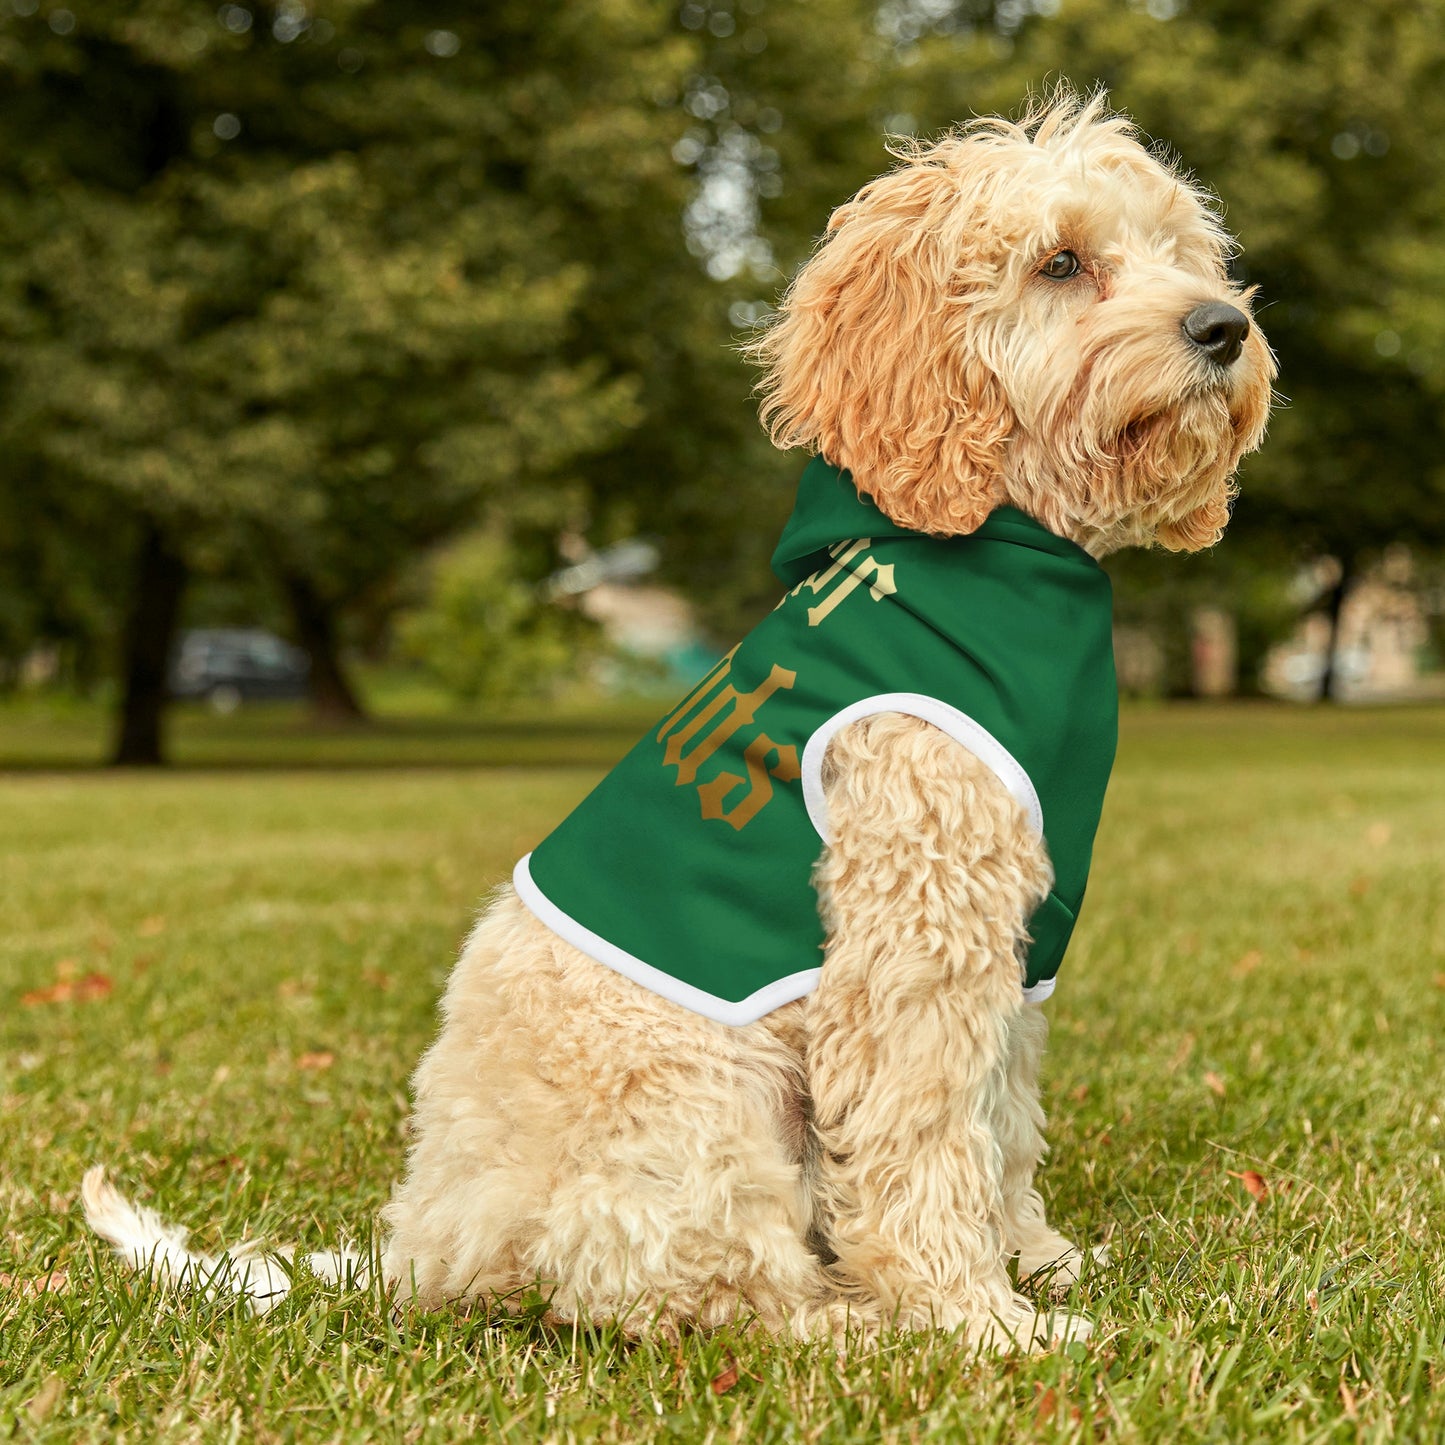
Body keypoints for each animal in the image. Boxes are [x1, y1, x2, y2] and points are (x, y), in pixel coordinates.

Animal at [84, 93, 1271, 1352]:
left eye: (1180, 252)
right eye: (1059, 262)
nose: (1222, 327)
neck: (998, 545)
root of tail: (423, 1246)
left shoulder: (1013, 942)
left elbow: (999, 1120)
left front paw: (1034, 1260)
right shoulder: (914, 934)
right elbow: (924, 1136)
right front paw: (976, 1318)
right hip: (705, 1103)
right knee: (698, 1290)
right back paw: (852, 1322)